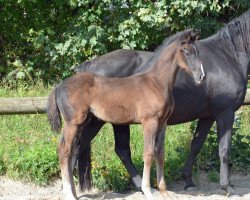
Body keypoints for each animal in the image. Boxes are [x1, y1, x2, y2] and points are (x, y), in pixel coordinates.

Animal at [47, 29, 205, 200]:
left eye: (198, 52)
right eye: (187, 52)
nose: (201, 76)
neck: (156, 83)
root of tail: (60, 85)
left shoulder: (163, 123)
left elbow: (160, 153)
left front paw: (164, 191)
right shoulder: (149, 122)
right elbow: (148, 153)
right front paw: (148, 190)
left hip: (83, 122)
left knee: (71, 150)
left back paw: (74, 193)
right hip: (73, 123)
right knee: (64, 150)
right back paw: (69, 193)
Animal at [73, 10, 249, 192]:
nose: (201, 76)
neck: (228, 56)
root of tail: (89, 66)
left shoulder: (208, 116)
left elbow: (196, 145)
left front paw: (188, 180)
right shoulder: (225, 113)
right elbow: (224, 149)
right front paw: (226, 186)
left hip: (117, 122)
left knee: (121, 150)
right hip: (97, 121)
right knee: (78, 147)